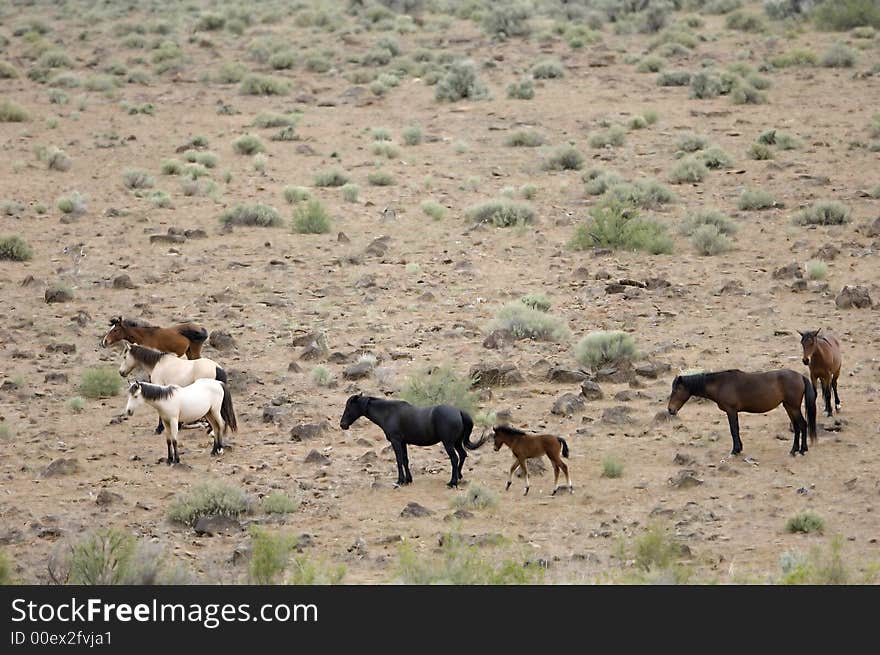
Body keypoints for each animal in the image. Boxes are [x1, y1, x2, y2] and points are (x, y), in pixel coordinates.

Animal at [338, 394, 488, 486]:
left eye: (349, 407)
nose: (342, 425)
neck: (389, 413)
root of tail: (459, 412)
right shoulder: (403, 442)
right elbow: (405, 460)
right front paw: (408, 480)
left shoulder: (396, 441)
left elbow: (399, 460)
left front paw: (400, 481)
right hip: (456, 443)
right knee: (462, 455)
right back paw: (459, 476)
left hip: (449, 444)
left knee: (455, 458)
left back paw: (452, 482)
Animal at [668, 368, 820, 456]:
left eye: (676, 390)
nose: (670, 410)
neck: (720, 384)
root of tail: (800, 376)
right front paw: (739, 448)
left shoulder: (731, 411)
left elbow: (734, 429)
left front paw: (735, 450)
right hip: (788, 407)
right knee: (797, 426)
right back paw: (795, 449)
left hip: (793, 407)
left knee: (802, 424)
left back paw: (801, 449)